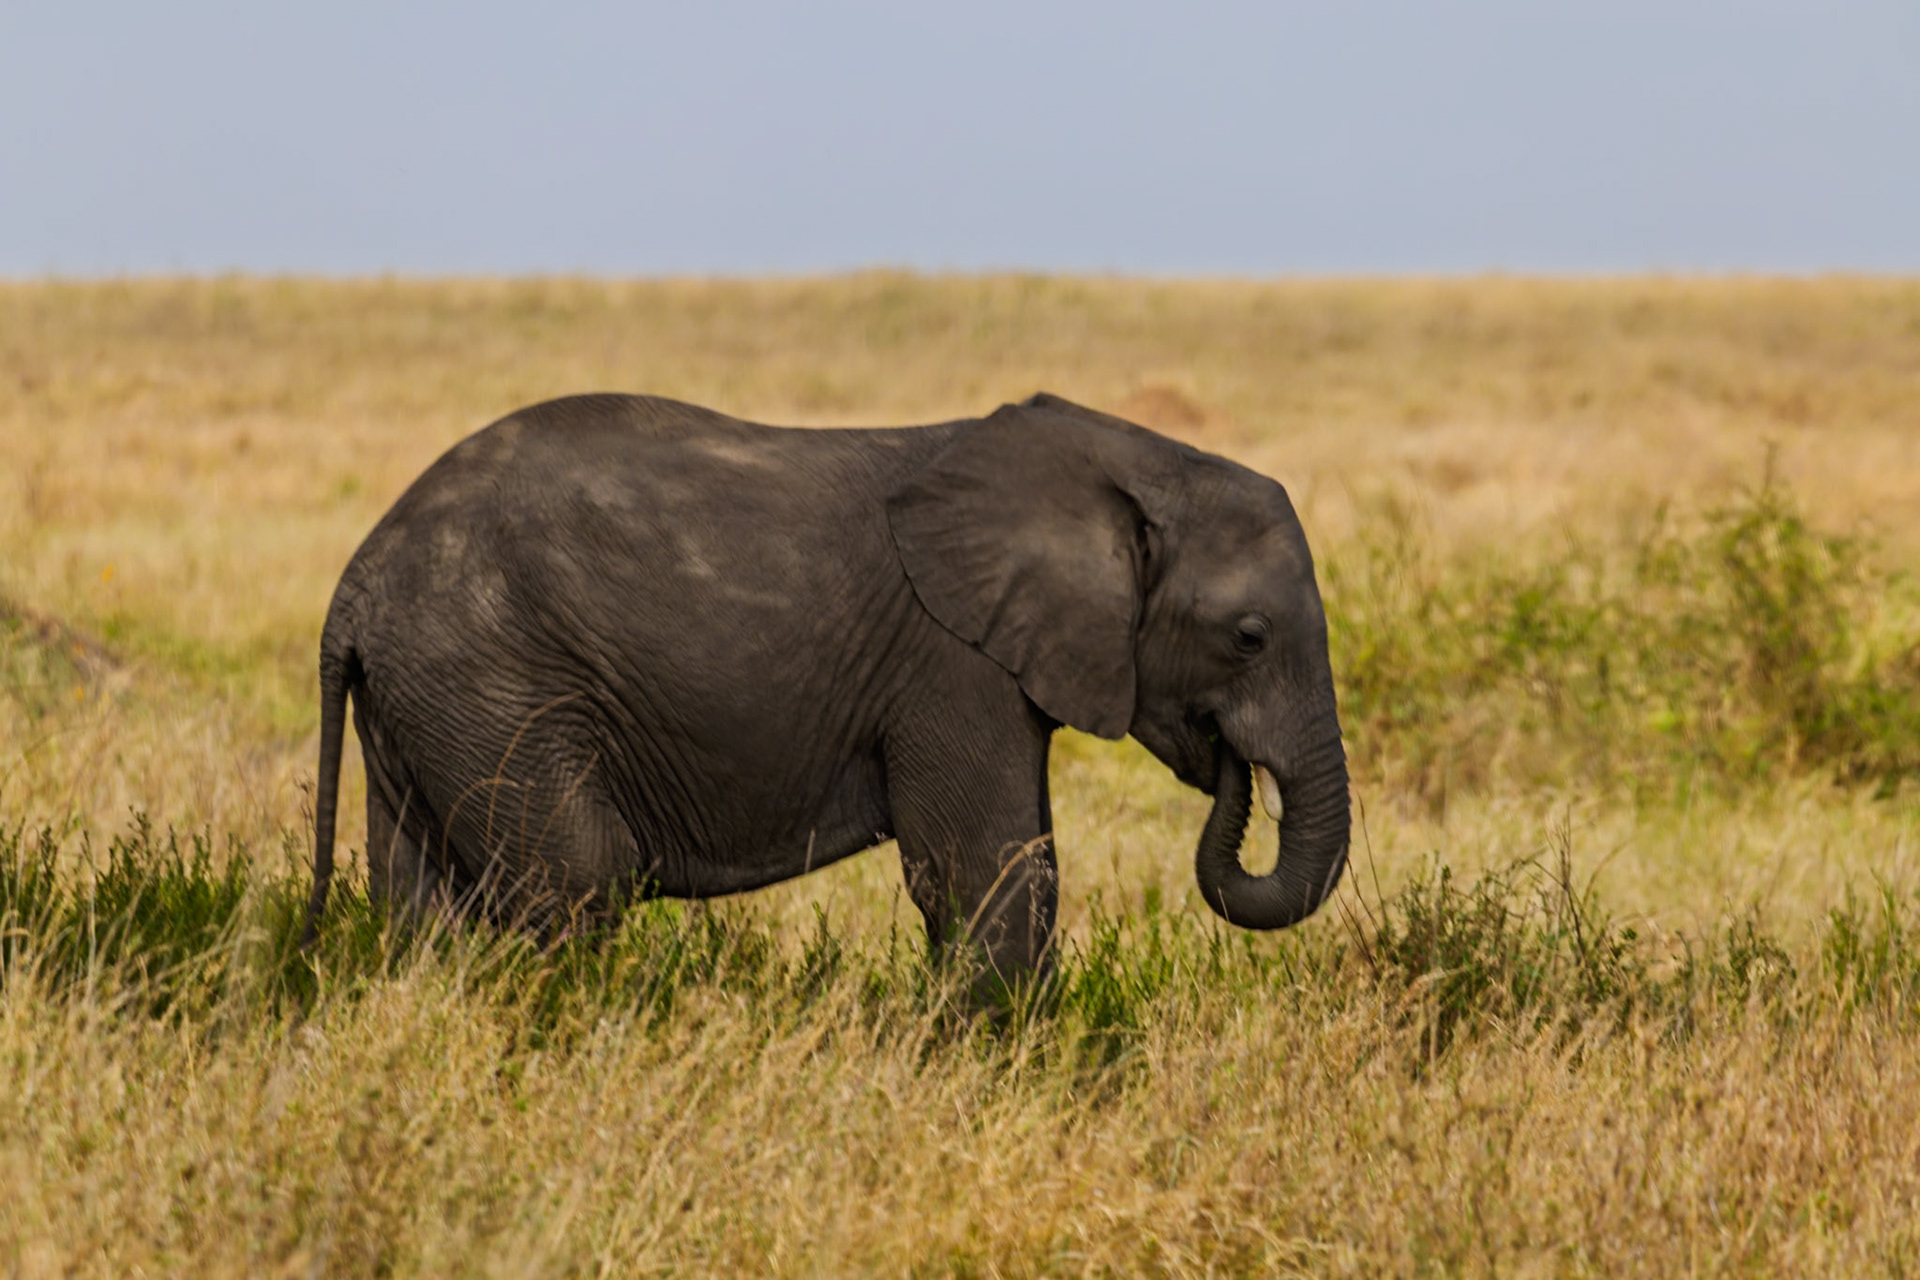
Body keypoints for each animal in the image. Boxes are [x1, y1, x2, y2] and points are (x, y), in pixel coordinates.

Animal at [305, 391, 1350, 980]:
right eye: (1249, 638)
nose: (1230, 765)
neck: (1127, 456)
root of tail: (352, 587)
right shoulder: (949, 660)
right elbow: (990, 874)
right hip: (489, 681)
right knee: (576, 879)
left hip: (431, 702)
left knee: (421, 902)